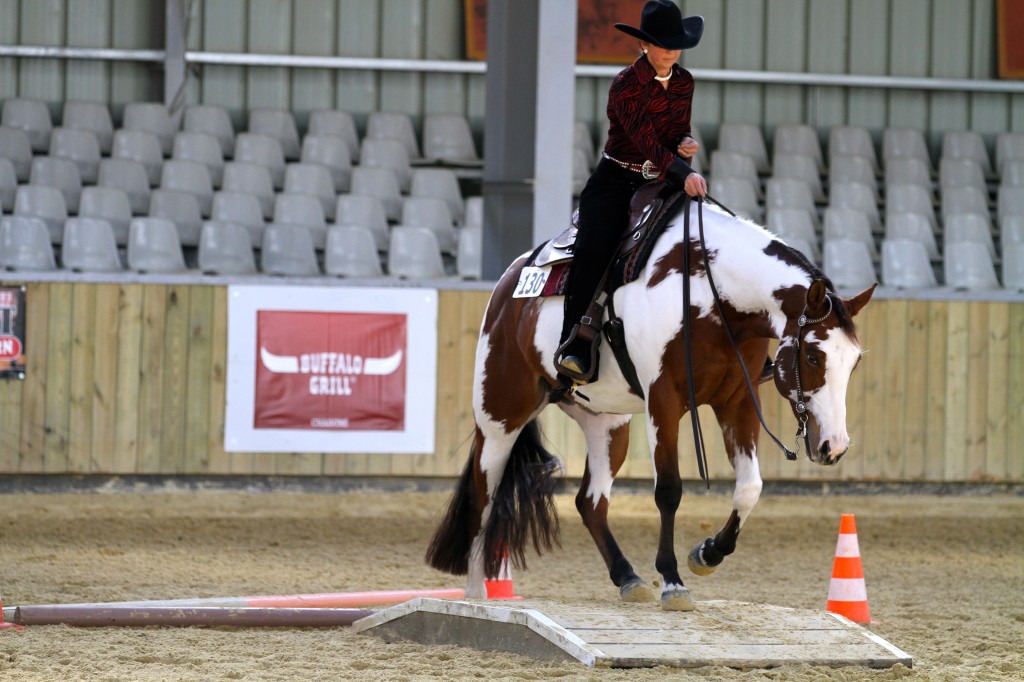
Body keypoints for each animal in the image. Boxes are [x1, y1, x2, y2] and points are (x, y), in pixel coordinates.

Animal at [423, 199, 872, 606]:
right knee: (482, 499)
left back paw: (628, 577)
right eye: (813, 356)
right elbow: (669, 490)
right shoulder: (664, 399)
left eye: (855, 361)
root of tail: (508, 285)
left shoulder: (737, 400)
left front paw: (707, 553)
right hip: (500, 417)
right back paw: (476, 593)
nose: (835, 446)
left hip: (607, 424)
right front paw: (672, 581)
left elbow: (750, 487)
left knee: (590, 502)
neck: (713, 292)